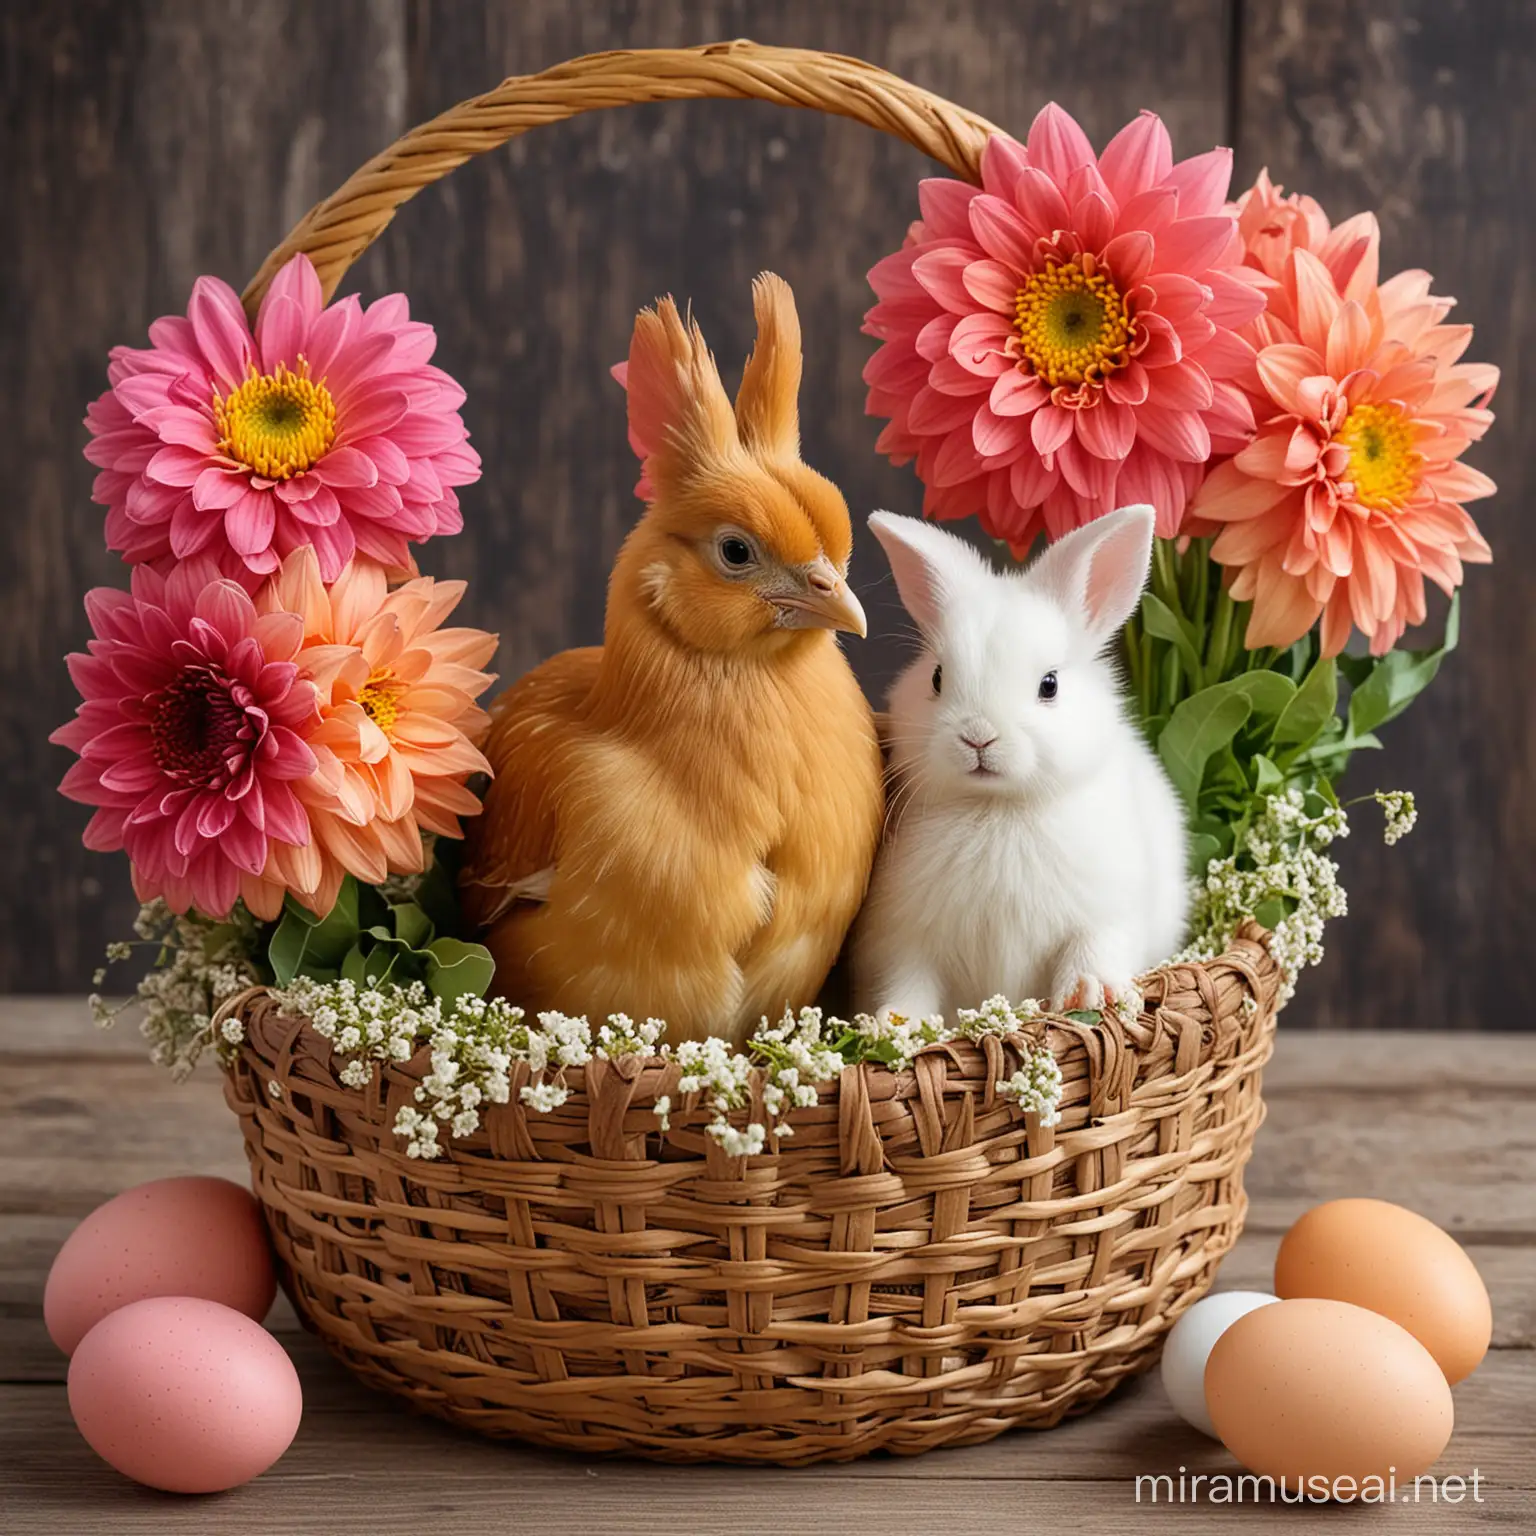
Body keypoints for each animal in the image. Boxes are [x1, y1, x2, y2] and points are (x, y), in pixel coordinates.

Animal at [854, 503, 1185, 1026]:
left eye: (1050, 684)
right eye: (937, 678)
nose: (978, 736)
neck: (998, 808)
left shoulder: (1109, 911)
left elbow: (1092, 946)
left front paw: (1090, 994)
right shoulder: (905, 938)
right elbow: (909, 979)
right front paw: (897, 1021)